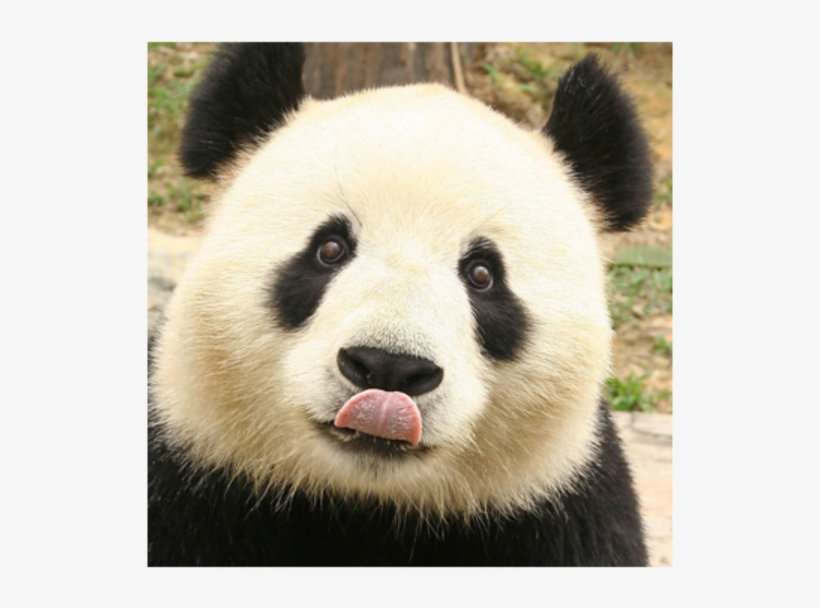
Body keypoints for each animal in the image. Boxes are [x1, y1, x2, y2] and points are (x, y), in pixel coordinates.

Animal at [148, 42, 653, 567]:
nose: (389, 367)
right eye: (330, 248)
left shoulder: (556, 507)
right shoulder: (196, 469)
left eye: (482, 275)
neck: (367, 504)